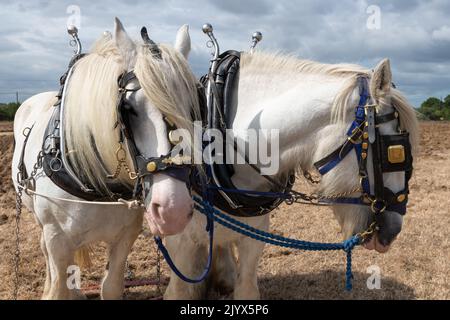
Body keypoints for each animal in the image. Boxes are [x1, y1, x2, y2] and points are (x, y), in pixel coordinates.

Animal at [11, 18, 200, 300]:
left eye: (192, 108)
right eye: (128, 109)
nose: (171, 210)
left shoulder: (125, 236)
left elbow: (110, 286)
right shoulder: (57, 238)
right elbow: (58, 285)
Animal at [164, 51, 418, 298]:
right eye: (395, 151)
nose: (393, 231)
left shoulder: (253, 238)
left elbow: (246, 289)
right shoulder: (179, 243)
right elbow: (179, 292)